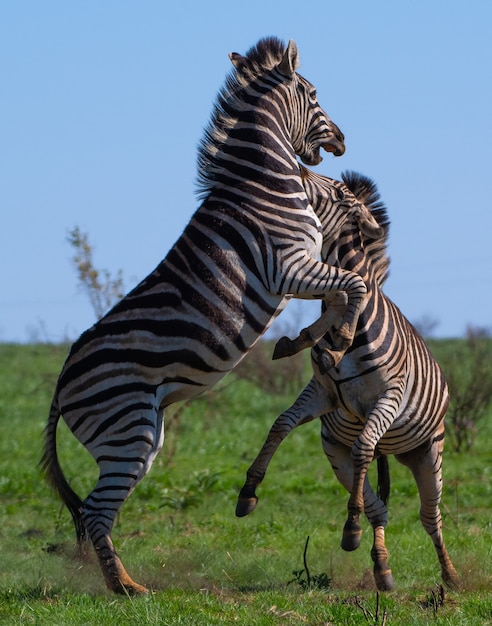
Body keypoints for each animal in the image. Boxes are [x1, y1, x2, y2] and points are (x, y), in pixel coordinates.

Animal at [40, 36, 376, 592]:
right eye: (313, 94)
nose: (346, 139)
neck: (267, 183)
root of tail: (62, 378)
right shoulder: (289, 266)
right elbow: (355, 284)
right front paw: (340, 337)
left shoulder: (302, 270)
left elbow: (343, 293)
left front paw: (305, 340)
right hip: (127, 431)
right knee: (94, 511)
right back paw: (126, 591)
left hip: (137, 437)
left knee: (95, 511)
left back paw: (126, 583)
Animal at [236, 169, 460, 588]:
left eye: (337, 193)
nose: (298, 168)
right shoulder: (322, 392)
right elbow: (280, 424)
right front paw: (248, 491)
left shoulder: (387, 399)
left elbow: (363, 448)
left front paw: (350, 525)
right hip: (335, 454)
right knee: (379, 509)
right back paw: (382, 568)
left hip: (429, 453)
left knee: (429, 517)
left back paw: (450, 575)